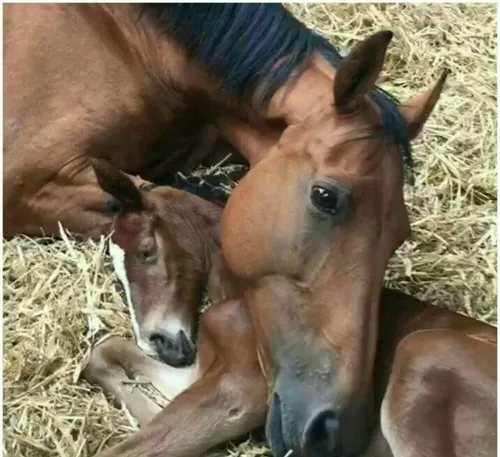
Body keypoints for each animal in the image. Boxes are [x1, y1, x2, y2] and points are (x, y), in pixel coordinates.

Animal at [83, 160, 496, 456]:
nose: (158, 342)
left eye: (146, 251)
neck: (242, 295)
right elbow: (103, 353)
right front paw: (147, 407)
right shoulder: (201, 371)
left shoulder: (242, 389)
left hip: (424, 350)